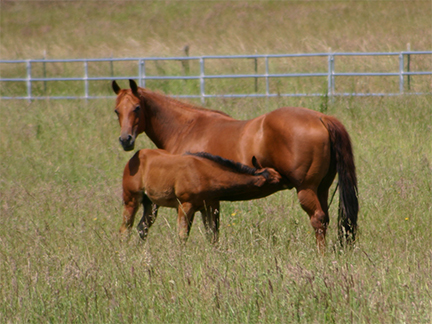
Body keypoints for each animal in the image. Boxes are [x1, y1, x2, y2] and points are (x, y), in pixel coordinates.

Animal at [120, 149, 282, 243]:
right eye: (275, 180)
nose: (286, 180)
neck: (207, 175)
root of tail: (134, 157)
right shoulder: (185, 205)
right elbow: (182, 235)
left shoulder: (210, 205)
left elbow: (213, 235)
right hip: (131, 198)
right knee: (125, 229)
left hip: (151, 203)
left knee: (142, 227)